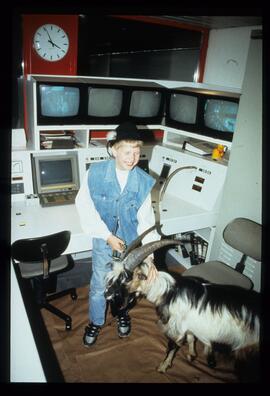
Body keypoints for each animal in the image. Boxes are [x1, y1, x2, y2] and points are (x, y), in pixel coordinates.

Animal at [105, 232, 260, 378]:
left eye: (125, 279)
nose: (107, 294)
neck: (168, 292)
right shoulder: (189, 325)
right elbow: (191, 337)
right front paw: (191, 355)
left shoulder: (177, 328)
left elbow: (172, 347)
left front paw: (162, 367)